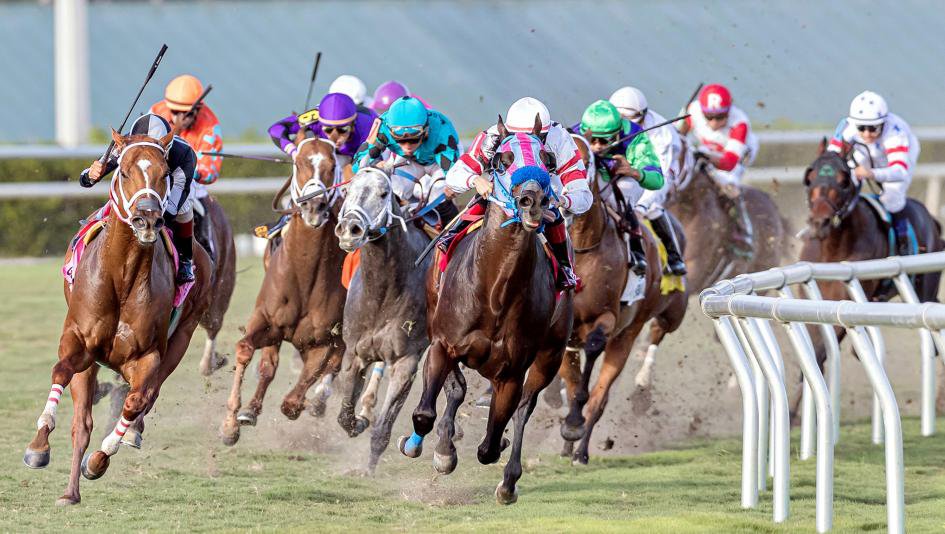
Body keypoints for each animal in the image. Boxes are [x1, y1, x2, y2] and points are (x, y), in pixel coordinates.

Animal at [23, 130, 211, 506]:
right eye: (122, 172)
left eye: (164, 174)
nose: (147, 219)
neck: (122, 277)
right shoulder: (79, 341)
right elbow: (61, 372)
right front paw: (39, 445)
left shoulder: (148, 355)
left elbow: (137, 400)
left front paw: (100, 458)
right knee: (82, 423)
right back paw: (70, 491)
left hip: (180, 339)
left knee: (146, 397)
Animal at [220, 136, 346, 446]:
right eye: (298, 162)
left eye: (332, 164)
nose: (314, 206)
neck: (304, 274)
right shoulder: (265, 321)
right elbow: (247, 352)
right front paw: (231, 424)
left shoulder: (324, 340)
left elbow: (302, 389)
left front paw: (302, 403)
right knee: (269, 364)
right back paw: (251, 410)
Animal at [334, 166, 434, 474]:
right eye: (348, 190)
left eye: (383, 192)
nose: (350, 228)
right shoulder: (355, 354)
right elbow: (345, 415)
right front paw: (359, 420)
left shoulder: (407, 361)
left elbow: (383, 427)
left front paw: (369, 468)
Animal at [400, 117, 572, 506]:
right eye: (501, 160)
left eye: (549, 160)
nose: (532, 201)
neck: (495, 292)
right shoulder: (442, 344)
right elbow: (425, 412)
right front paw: (433, 449)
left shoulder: (511, 372)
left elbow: (491, 444)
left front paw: (496, 450)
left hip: (550, 356)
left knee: (523, 410)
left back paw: (508, 481)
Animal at [560, 136, 684, 466]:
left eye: (582, 161)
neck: (581, 248)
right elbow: (570, 382)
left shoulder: (605, 319)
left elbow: (591, 366)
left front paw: (573, 423)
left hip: (637, 328)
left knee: (601, 396)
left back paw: (581, 449)